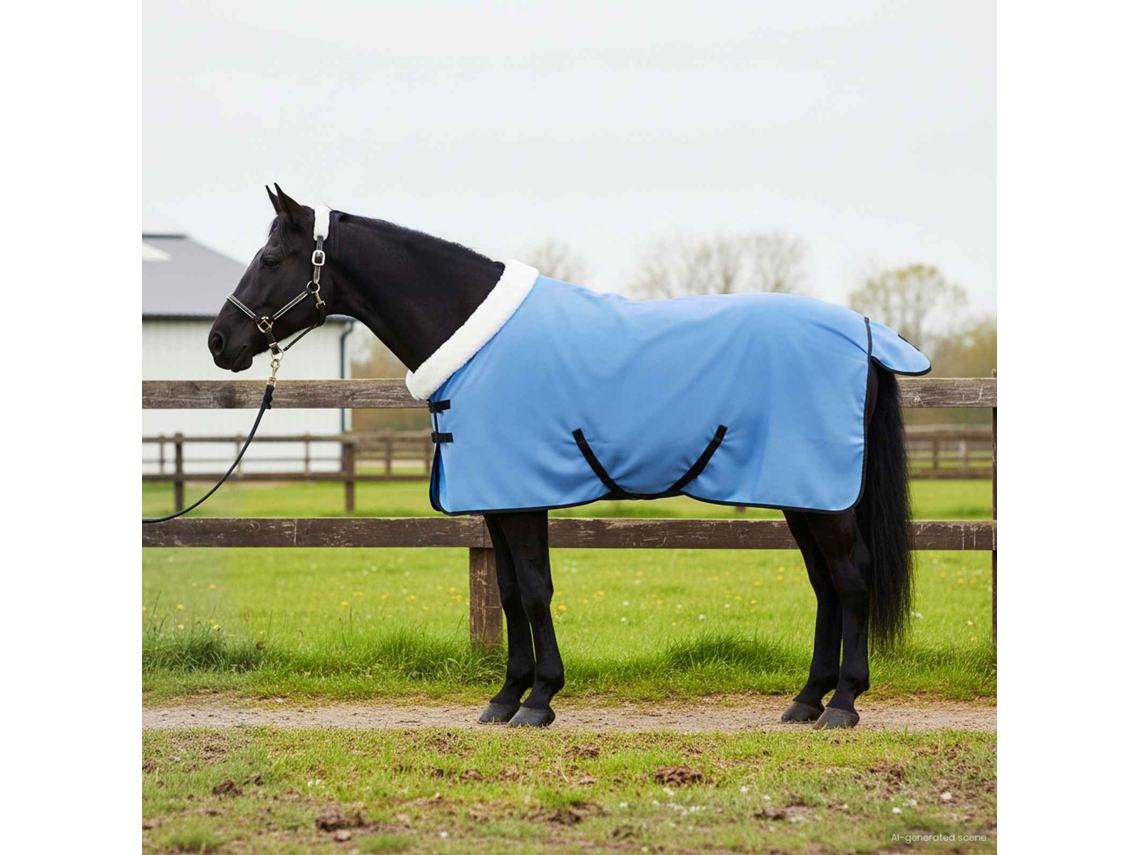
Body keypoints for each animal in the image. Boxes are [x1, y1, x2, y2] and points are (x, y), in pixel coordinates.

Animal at [207, 185, 927, 730]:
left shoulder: (522, 497)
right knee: (826, 584)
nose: (219, 340)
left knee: (852, 578)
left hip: (824, 498)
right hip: (803, 493)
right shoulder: (497, 501)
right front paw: (506, 697)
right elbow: (507, 592)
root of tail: (866, 334)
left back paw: (843, 703)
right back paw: (806, 700)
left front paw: (540, 699)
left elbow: (532, 590)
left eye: (271, 256)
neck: (473, 338)